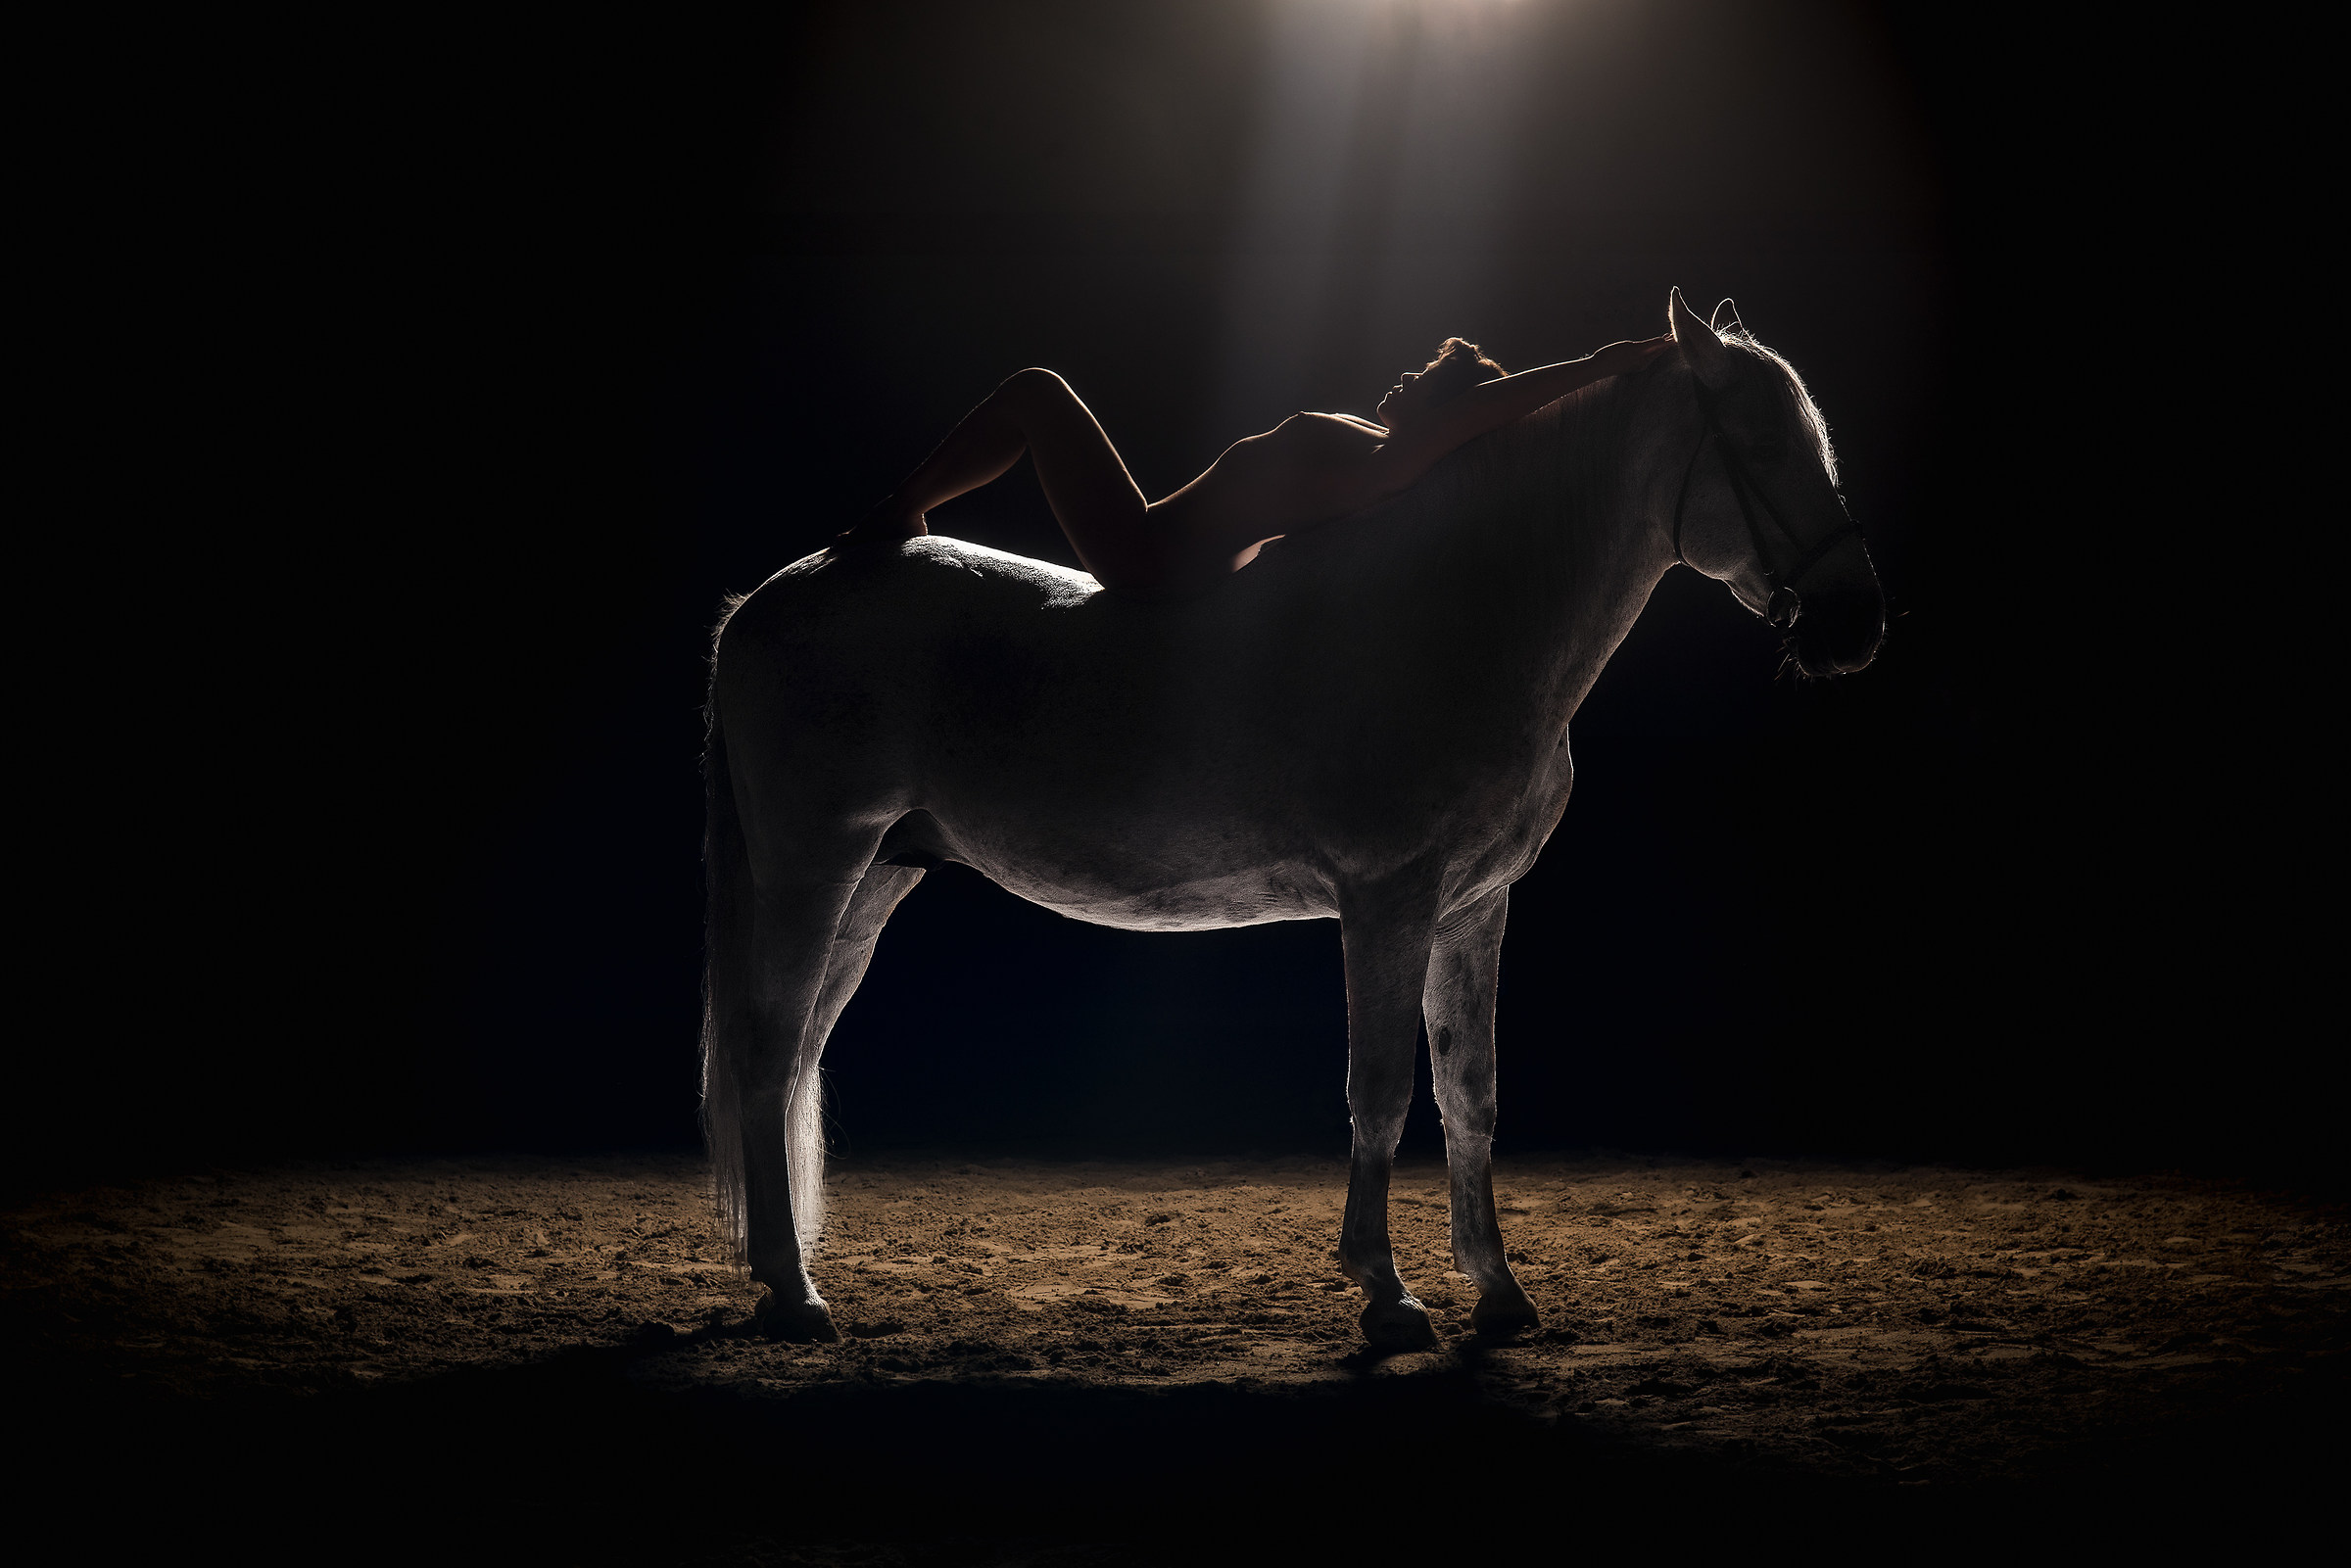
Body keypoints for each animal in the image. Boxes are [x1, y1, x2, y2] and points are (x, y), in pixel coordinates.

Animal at [700, 287, 1885, 1347]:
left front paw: (1498, 1291)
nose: (1856, 621)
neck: (1453, 611)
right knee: (766, 1049)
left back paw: (781, 1276)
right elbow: (1382, 1089)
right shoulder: (1388, 901)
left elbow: (1469, 1092)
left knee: (793, 1051)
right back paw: (794, 1296)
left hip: (873, 879)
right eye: (1763, 442)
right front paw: (1388, 1294)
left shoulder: (1474, 908)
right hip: (813, 868)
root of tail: (762, 600)